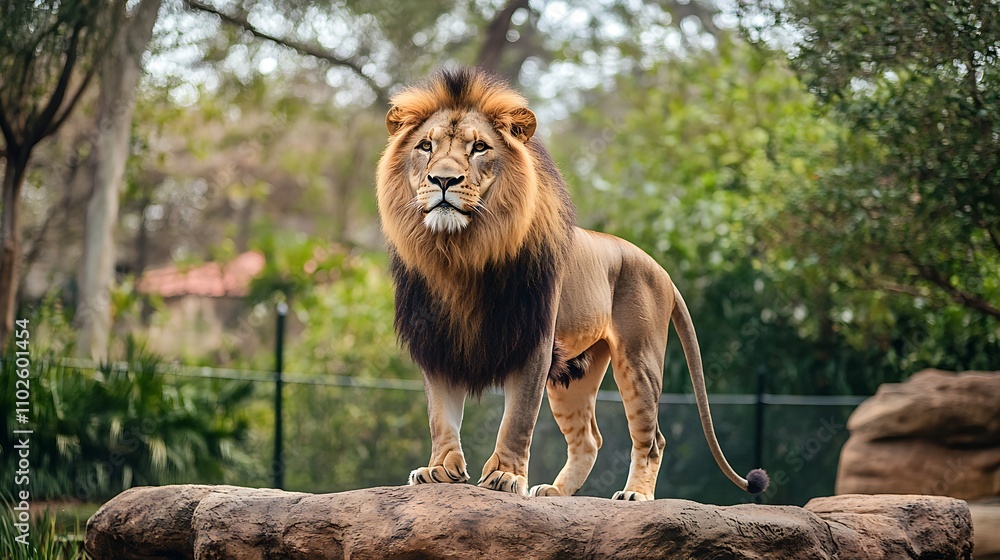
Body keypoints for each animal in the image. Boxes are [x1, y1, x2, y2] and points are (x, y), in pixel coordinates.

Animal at [376, 67, 768, 500]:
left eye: (479, 147)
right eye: (426, 146)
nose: (443, 179)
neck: (459, 254)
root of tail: (659, 267)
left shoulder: (533, 341)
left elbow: (517, 419)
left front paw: (506, 476)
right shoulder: (436, 343)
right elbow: (440, 417)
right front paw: (439, 470)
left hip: (639, 361)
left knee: (652, 439)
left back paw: (636, 495)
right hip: (576, 374)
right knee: (589, 439)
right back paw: (555, 492)